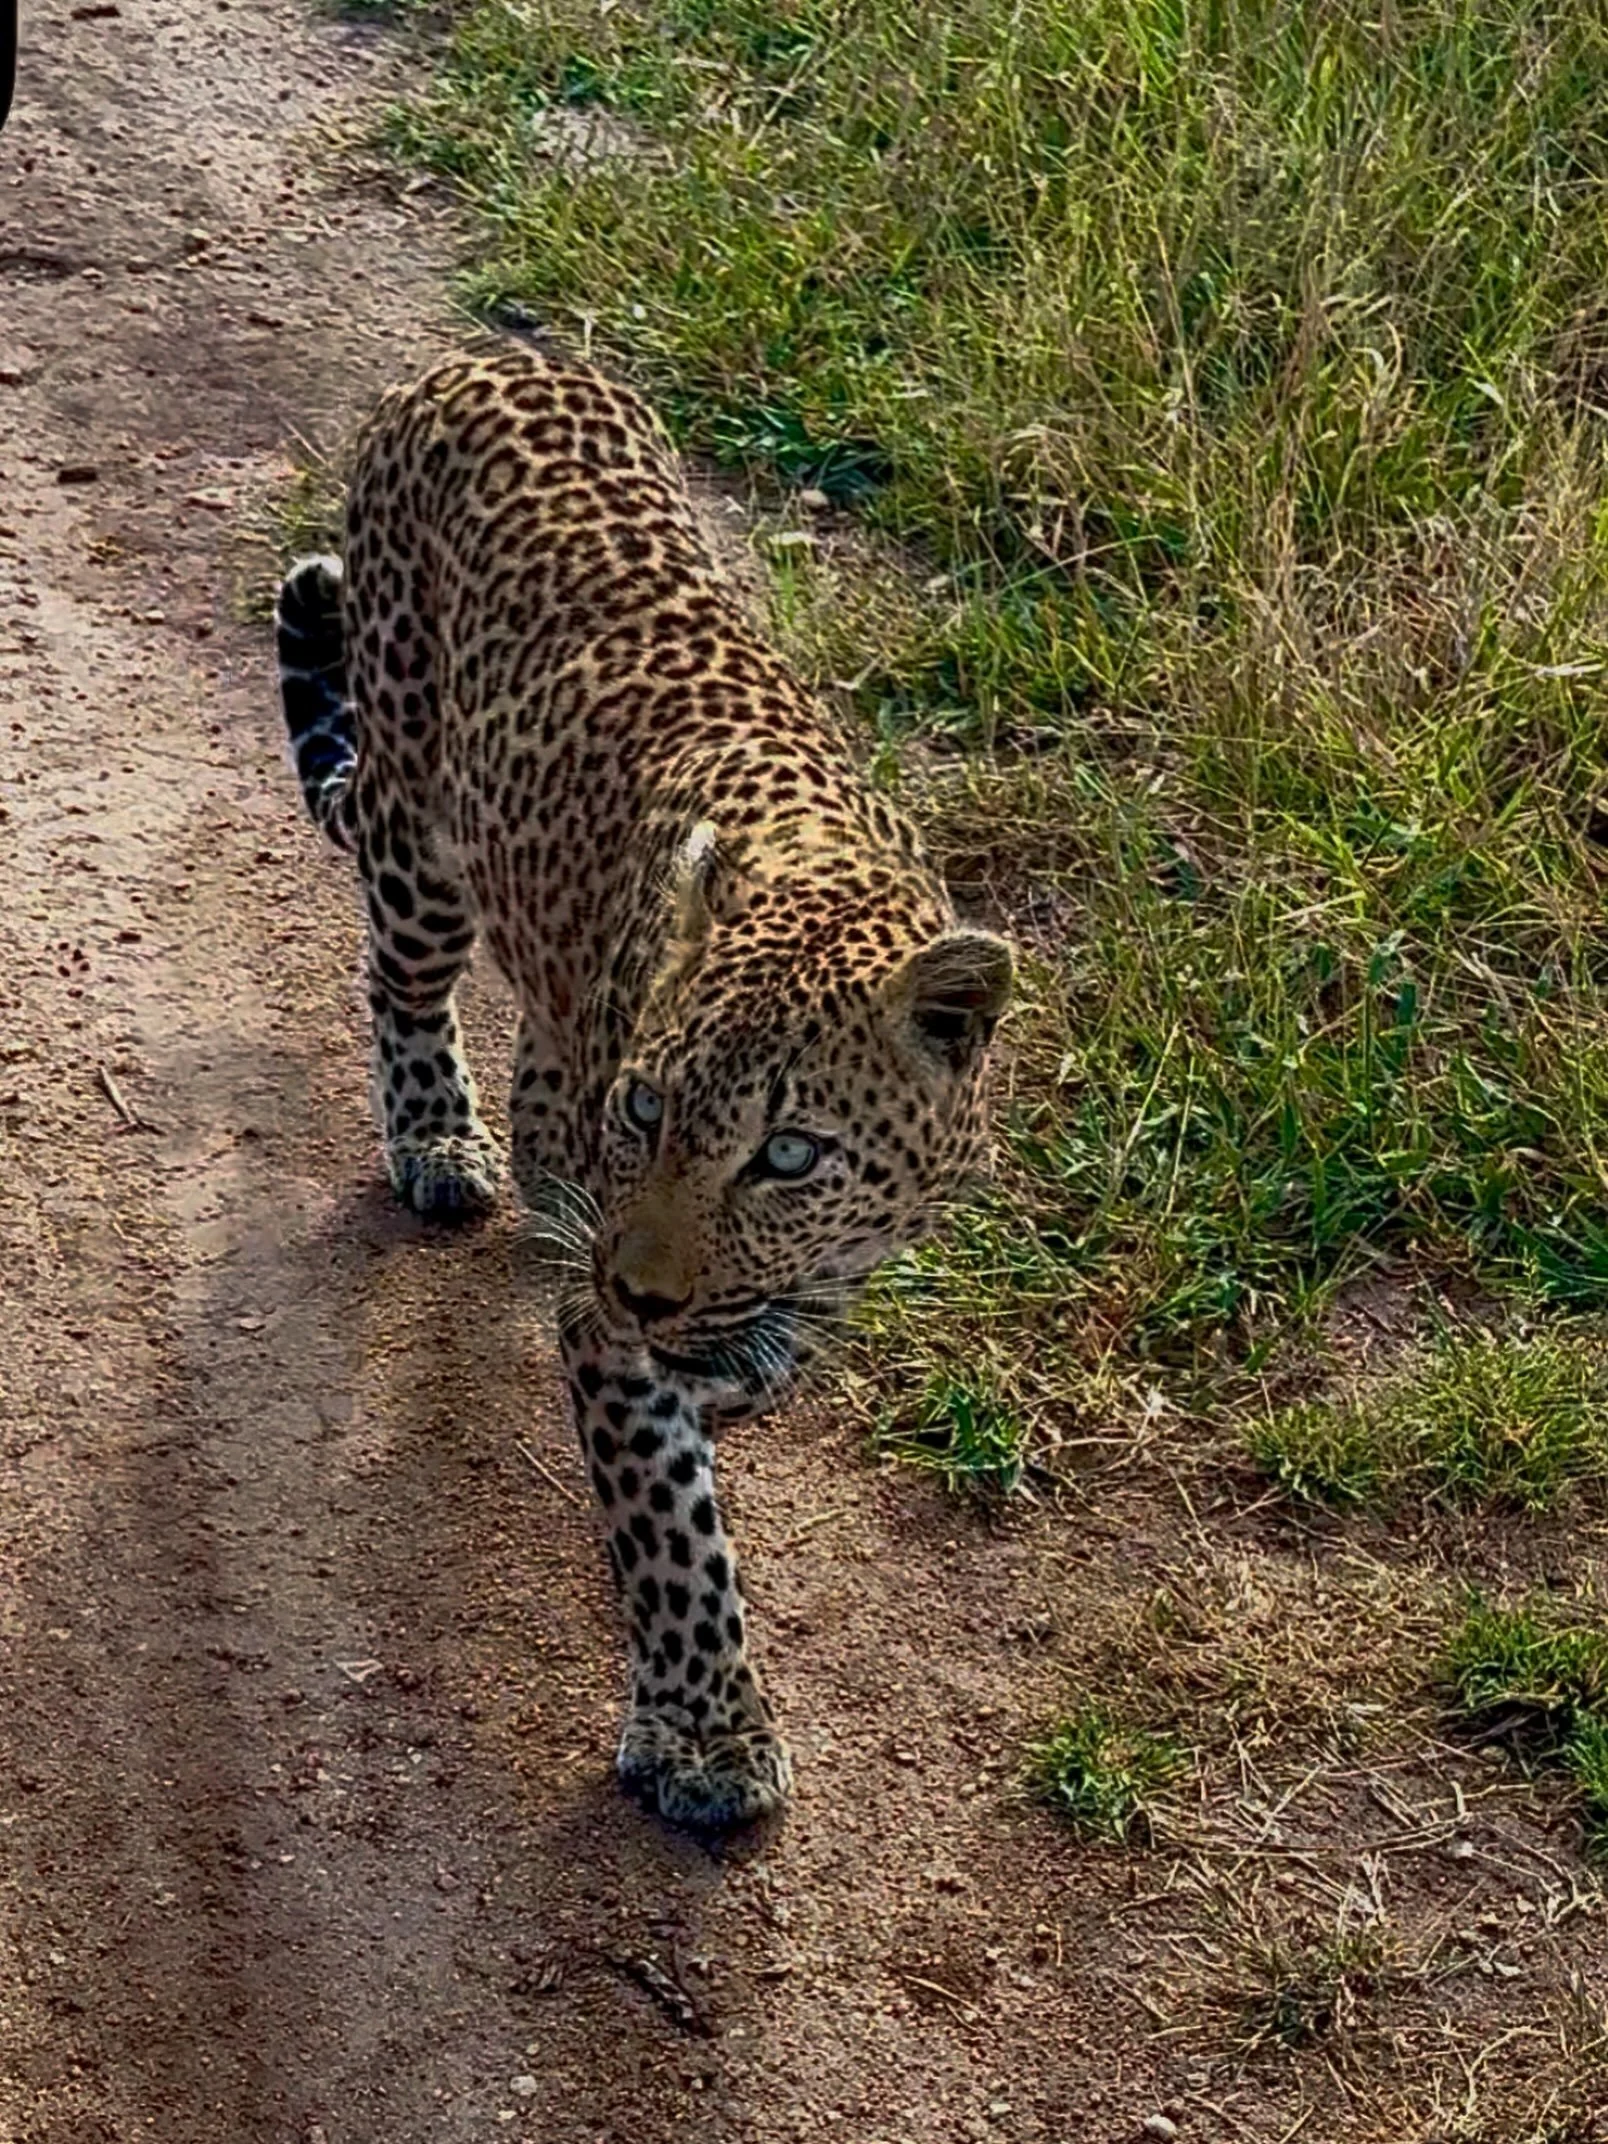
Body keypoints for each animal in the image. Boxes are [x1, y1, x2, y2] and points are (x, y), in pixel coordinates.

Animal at [274, 342, 1012, 1829]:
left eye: (787, 1156)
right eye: (652, 1111)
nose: (642, 1287)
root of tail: (487, 352)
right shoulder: (614, 1340)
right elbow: (673, 1538)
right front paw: (707, 1732)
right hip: (421, 827)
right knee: (405, 982)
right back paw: (444, 1142)